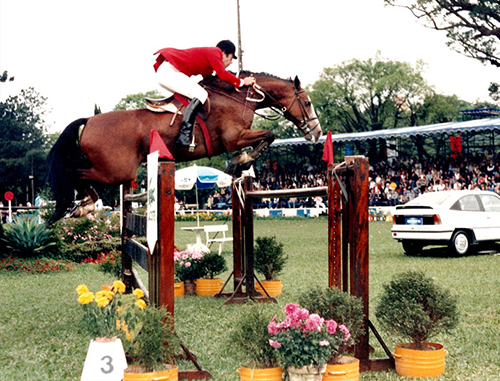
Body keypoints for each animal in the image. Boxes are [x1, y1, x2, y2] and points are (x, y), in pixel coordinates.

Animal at [46, 70, 320, 223]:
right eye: (307, 103)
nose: (316, 133)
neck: (240, 97)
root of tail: (89, 120)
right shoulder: (234, 138)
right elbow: (269, 135)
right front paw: (241, 162)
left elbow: (267, 137)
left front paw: (239, 163)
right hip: (116, 170)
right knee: (73, 173)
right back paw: (84, 205)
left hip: (115, 170)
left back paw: (81, 205)